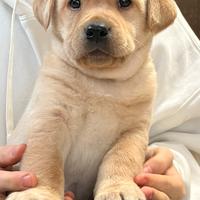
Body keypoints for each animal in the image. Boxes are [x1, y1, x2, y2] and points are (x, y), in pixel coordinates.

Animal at [6, 0, 176, 200]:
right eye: (74, 3)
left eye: (125, 2)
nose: (96, 29)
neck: (100, 81)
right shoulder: (50, 120)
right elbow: (45, 162)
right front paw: (38, 193)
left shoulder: (133, 131)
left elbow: (121, 159)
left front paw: (118, 188)